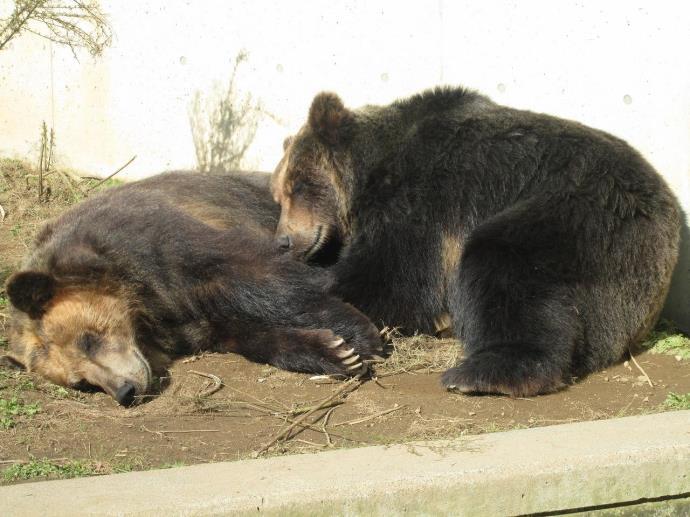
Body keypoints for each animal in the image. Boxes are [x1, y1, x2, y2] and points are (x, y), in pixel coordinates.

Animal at [1, 171, 382, 406]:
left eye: (88, 340)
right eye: (81, 382)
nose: (125, 391)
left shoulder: (157, 241)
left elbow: (252, 275)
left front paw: (358, 332)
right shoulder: (182, 321)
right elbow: (239, 332)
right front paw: (335, 350)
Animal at [268, 86, 676, 398]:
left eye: (300, 184)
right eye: (278, 195)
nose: (283, 241)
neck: (370, 173)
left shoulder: (418, 201)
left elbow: (391, 283)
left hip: (574, 213)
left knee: (502, 263)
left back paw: (483, 372)